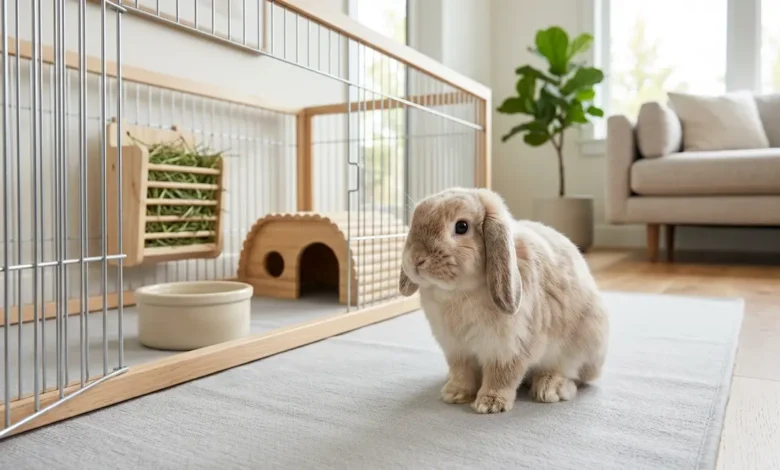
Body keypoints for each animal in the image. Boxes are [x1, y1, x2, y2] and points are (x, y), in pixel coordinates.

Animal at [398, 187, 609, 414]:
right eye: (415, 221)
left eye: (462, 226)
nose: (416, 258)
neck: (459, 292)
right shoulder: (457, 349)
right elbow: (462, 373)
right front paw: (454, 394)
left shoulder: (508, 348)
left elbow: (502, 376)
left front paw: (490, 404)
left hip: (581, 345)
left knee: (573, 374)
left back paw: (550, 387)